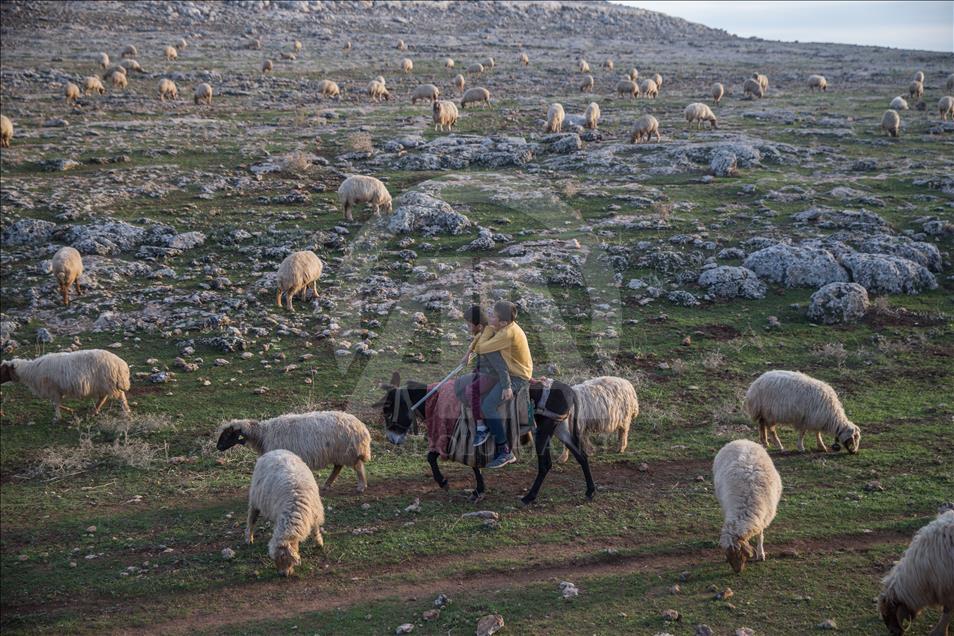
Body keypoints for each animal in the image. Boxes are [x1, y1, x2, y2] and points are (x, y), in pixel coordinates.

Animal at [0, 348, 131, 422]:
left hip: (108, 382)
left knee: (120, 396)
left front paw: (57, 417)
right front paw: (69, 410)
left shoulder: (53, 389)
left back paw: (126, 411)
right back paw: (94, 411)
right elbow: (56, 403)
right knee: (103, 397)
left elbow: (55, 404)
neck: (31, 371)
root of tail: (121, 364)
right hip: (104, 384)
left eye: (3, 370)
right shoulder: (56, 390)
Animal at [217, 410, 372, 494]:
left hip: (348, 452)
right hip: (339, 452)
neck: (262, 435)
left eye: (228, 434)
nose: (218, 447)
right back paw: (327, 484)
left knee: (357, 466)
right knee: (338, 467)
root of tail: (361, 427)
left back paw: (361, 486)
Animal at [245, 448, 324, 576]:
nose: (282, 574)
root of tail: (275, 451)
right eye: (274, 559)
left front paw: (319, 543)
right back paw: (249, 538)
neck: (295, 510)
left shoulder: (315, 513)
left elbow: (316, 529)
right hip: (255, 499)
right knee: (251, 519)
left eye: (284, 557)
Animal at [712, 440, 780, 572]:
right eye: (729, 556)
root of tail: (741, 440)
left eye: (740, 554)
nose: (737, 571)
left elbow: (760, 536)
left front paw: (761, 554)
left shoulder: (762, 518)